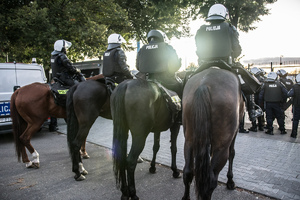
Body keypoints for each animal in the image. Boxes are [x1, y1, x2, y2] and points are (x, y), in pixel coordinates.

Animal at [180, 67, 244, 200]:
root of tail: (204, 84)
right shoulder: (235, 133)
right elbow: (232, 153)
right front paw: (230, 181)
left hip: (189, 140)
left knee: (188, 171)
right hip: (221, 147)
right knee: (211, 179)